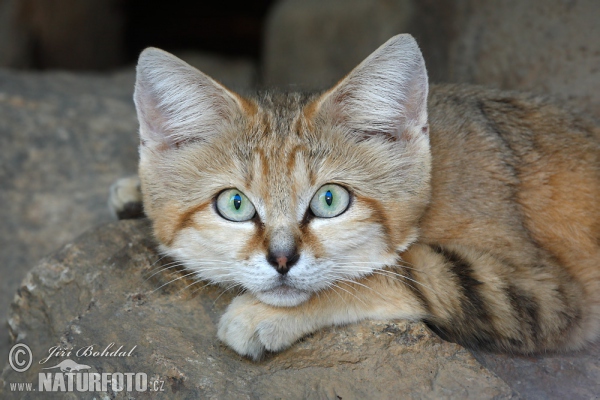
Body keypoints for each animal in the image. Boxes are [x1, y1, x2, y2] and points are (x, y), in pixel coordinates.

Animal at [110, 34, 600, 360]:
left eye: (330, 201)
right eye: (235, 205)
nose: (282, 260)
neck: (432, 180)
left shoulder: (543, 292)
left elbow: (393, 272)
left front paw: (263, 315)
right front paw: (135, 189)